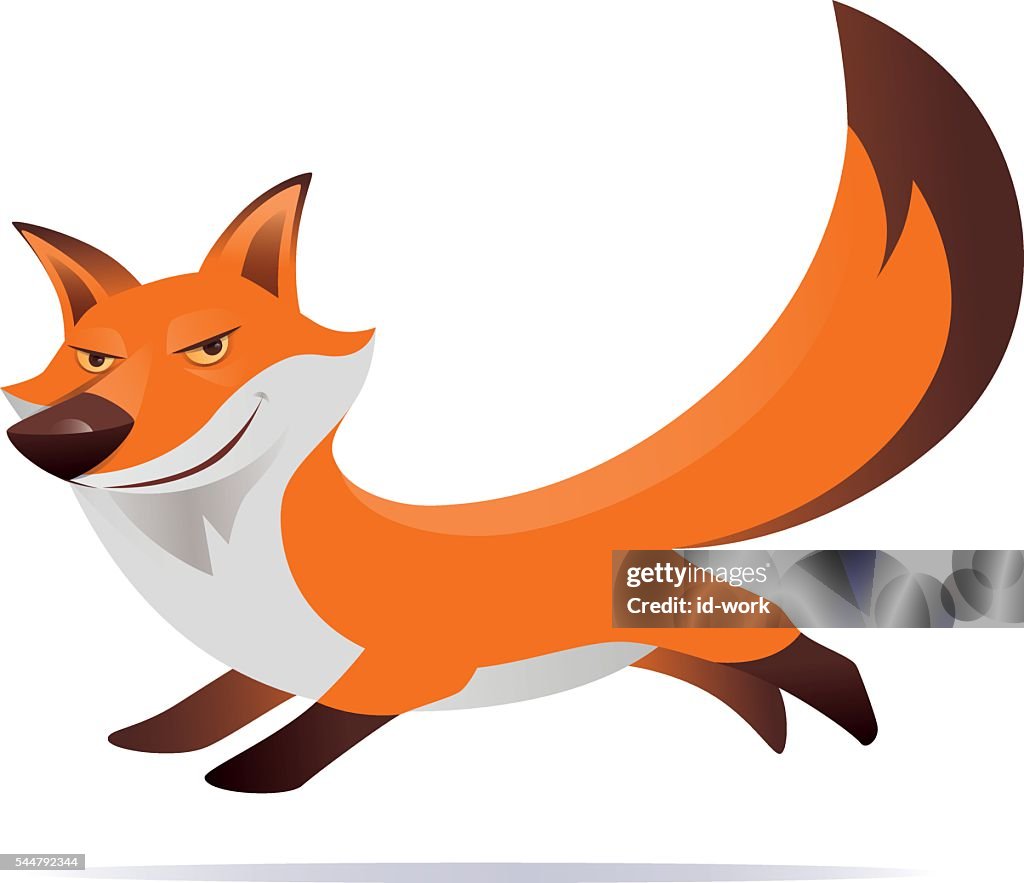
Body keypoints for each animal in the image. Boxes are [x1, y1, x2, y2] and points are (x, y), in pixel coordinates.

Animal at [3, 3, 1022, 793]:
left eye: (209, 348)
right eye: (91, 358)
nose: (62, 436)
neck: (228, 572)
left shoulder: (410, 666)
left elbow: (322, 727)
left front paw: (254, 776)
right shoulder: (265, 661)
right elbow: (213, 705)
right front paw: (157, 738)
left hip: (707, 627)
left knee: (809, 653)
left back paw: (858, 721)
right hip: (669, 646)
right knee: (762, 678)